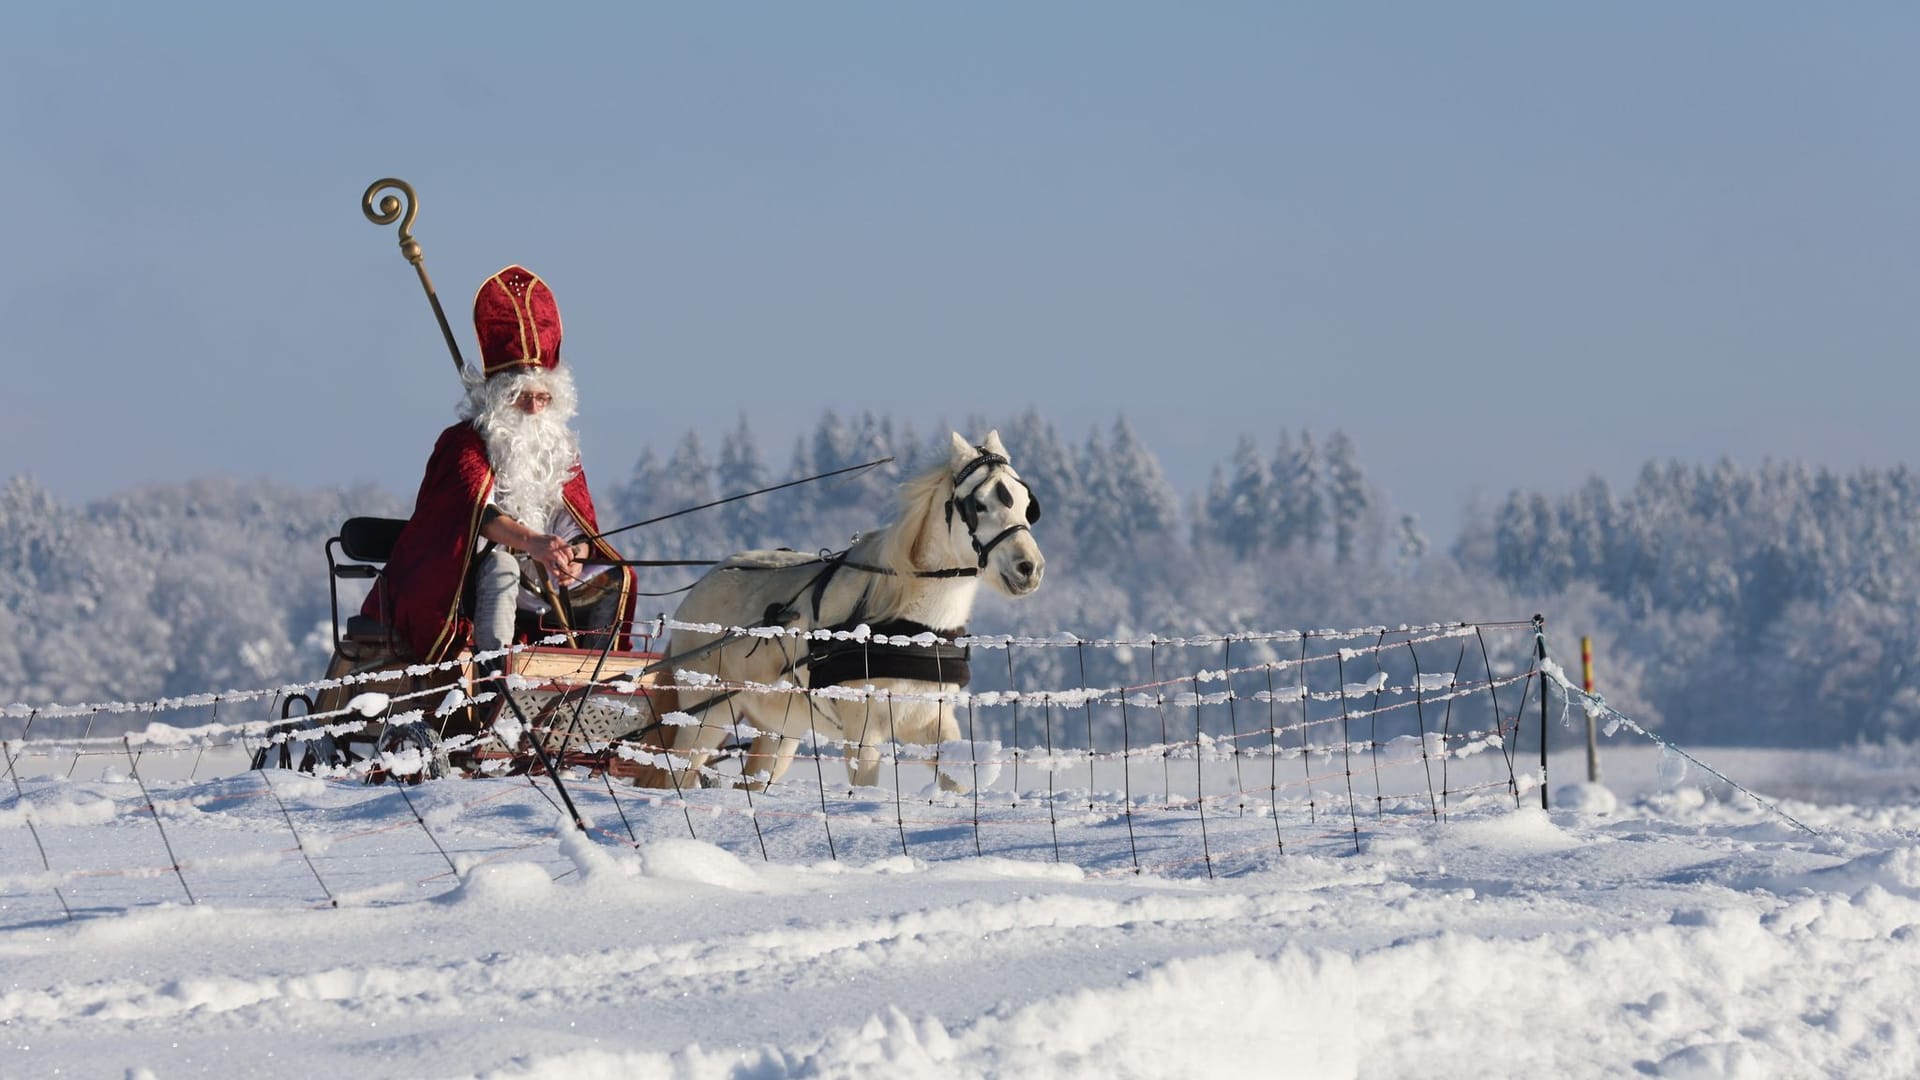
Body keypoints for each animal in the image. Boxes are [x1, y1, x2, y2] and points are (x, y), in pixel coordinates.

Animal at [664, 428, 1052, 791]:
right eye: (979, 505)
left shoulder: (931, 719)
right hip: (705, 716)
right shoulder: (864, 729)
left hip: (779, 731)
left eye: (1024, 503)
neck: (908, 625)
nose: (1029, 567)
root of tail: (703, 583)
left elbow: (956, 784)